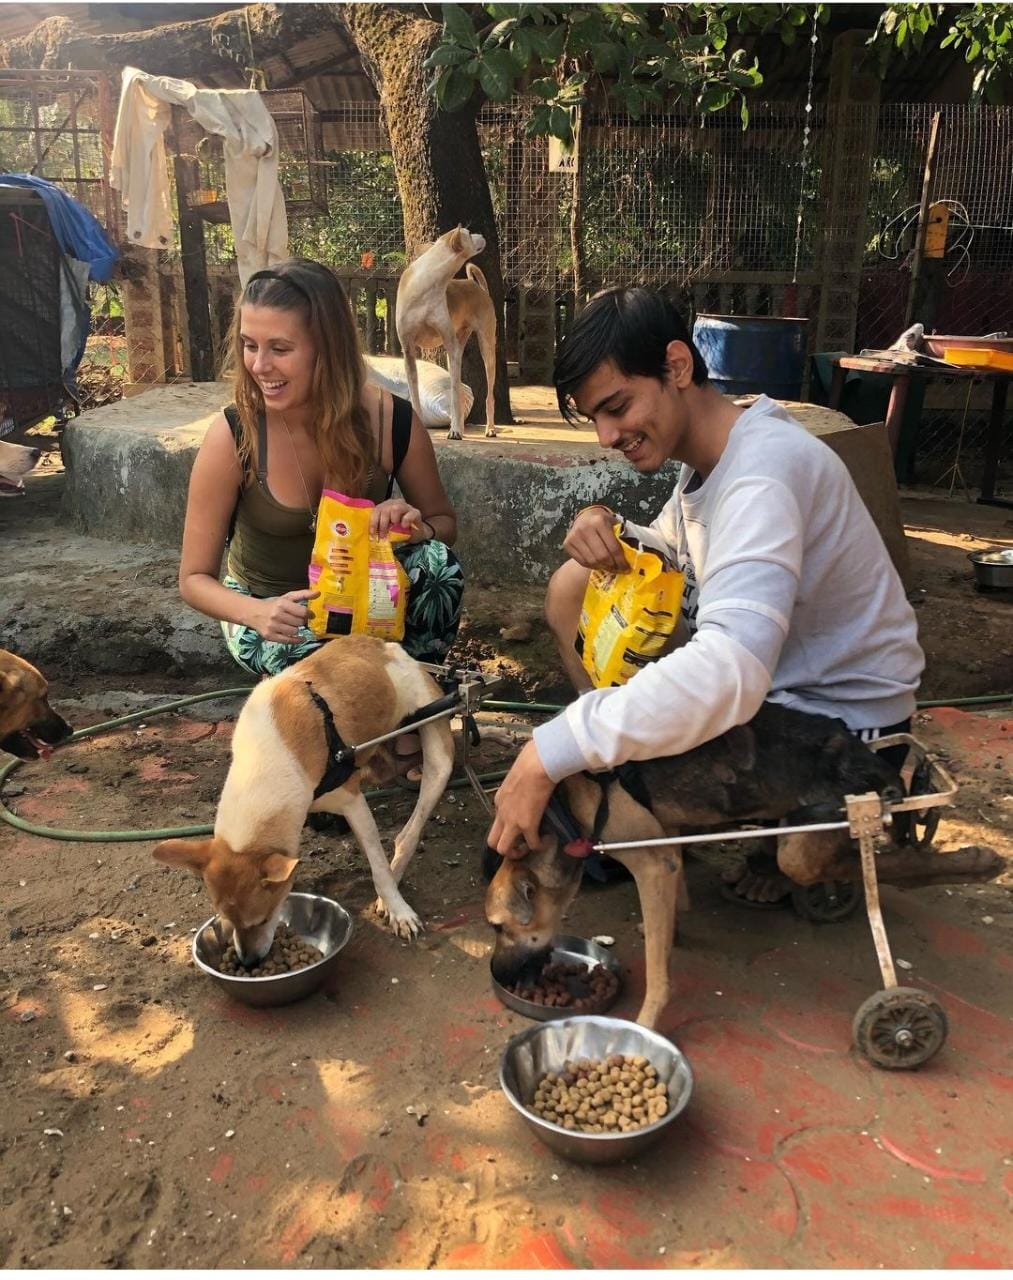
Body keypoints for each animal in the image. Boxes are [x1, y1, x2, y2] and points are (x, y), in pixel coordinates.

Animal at [150, 634, 450, 962]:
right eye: (227, 921)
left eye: (263, 919)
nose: (248, 962)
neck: (267, 759)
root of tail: (385, 647)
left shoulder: (353, 803)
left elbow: (378, 868)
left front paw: (399, 910)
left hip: (438, 758)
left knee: (407, 834)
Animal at [397, 222, 499, 437]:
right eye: (468, 233)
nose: (481, 234)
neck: (426, 285)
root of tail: (477, 287)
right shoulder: (408, 350)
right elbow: (414, 393)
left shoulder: (448, 342)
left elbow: (454, 393)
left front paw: (455, 430)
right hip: (458, 347)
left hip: (486, 349)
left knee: (486, 394)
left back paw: (488, 428)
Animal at [486, 706, 906, 1024]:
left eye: (498, 927)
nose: (499, 974)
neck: (561, 811)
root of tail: (876, 767)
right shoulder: (668, 849)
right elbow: (674, 907)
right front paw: (670, 930)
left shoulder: (651, 865)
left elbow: (657, 974)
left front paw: (648, 1022)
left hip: (806, 844)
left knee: (856, 862)